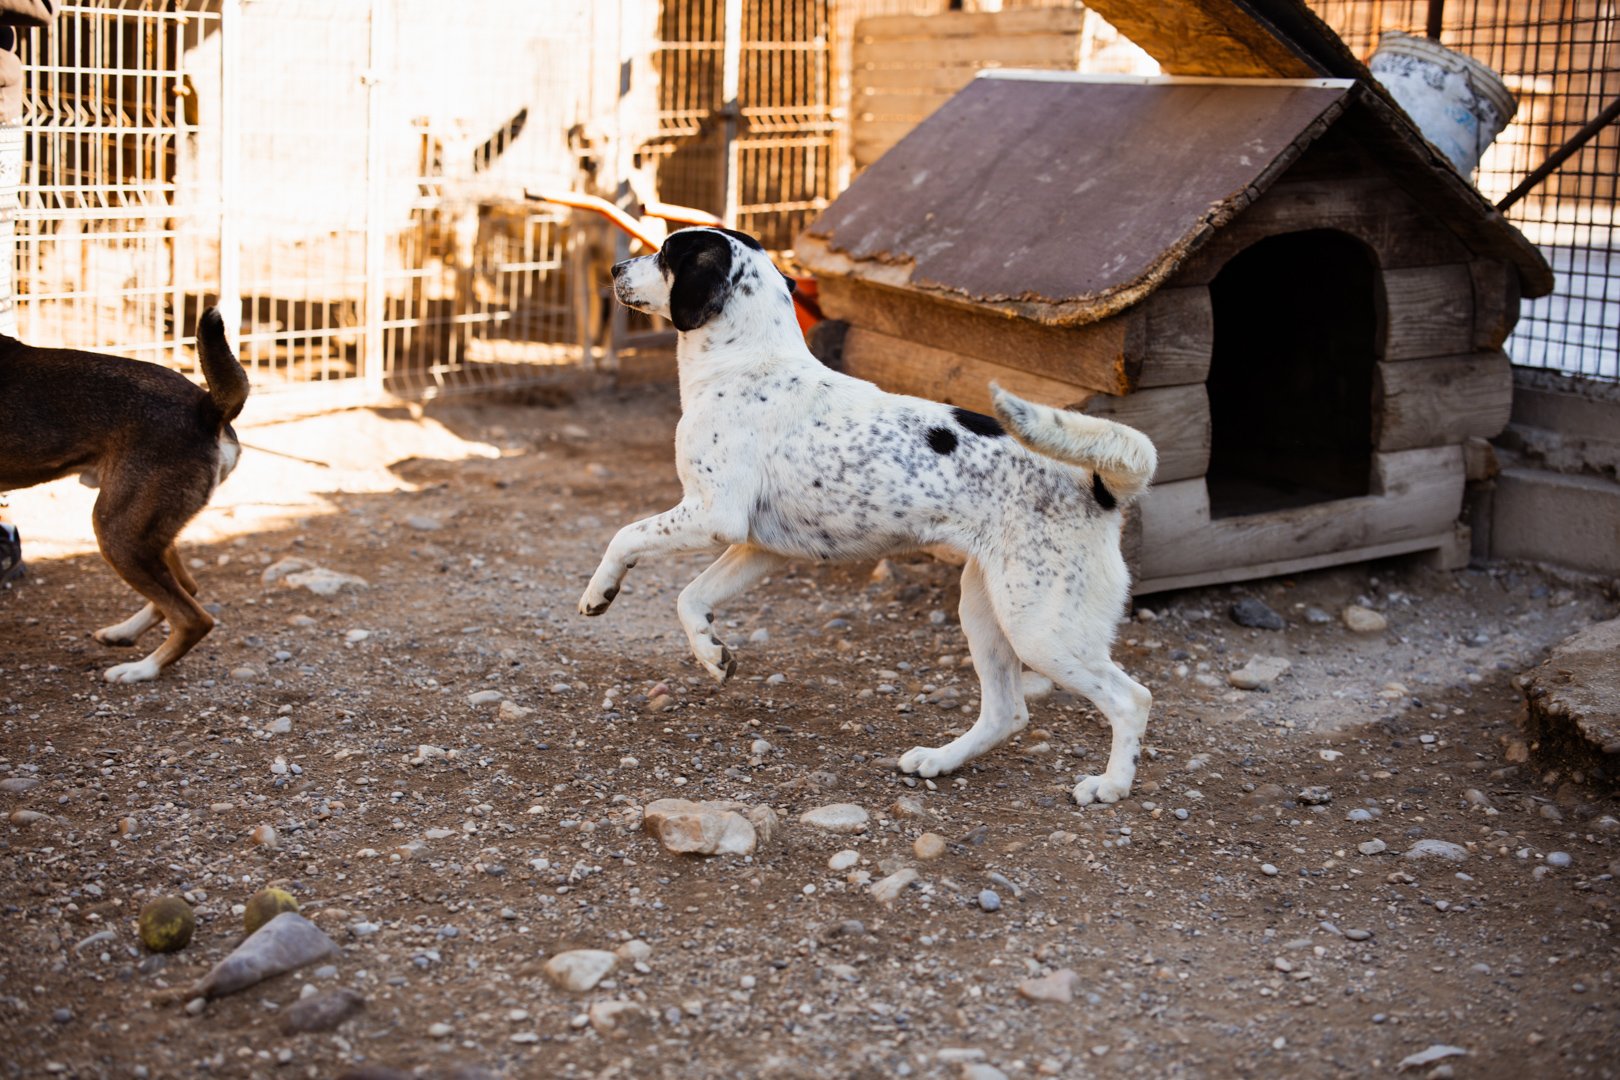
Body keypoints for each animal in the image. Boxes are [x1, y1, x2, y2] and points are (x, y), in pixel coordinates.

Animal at [0, 309, 248, 683]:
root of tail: (206, 407)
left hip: (117, 532)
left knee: (194, 618)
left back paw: (138, 670)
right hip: (144, 527)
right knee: (187, 587)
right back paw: (123, 633)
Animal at [582, 227, 1159, 805]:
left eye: (665, 253)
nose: (613, 269)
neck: (747, 364)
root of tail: (1098, 488)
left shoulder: (713, 515)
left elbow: (624, 536)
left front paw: (599, 592)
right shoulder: (758, 547)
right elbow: (691, 597)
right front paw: (710, 653)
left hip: (1040, 629)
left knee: (1131, 698)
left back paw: (1110, 785)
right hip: (986, 609)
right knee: (1008, 711)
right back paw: (939, 760)